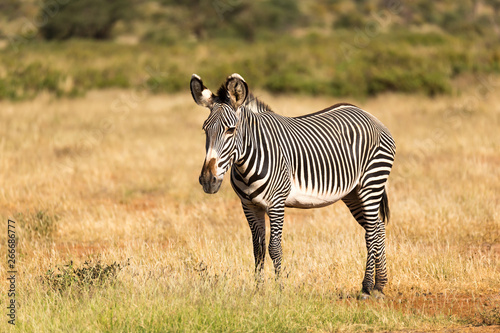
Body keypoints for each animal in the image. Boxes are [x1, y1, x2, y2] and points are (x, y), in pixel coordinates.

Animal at [189, 73, 396, 298]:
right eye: (205, 130)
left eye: (231, 130)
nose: (208, 180)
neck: (248, 159)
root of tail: (368, 114)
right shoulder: (250, 206)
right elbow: (258, 249)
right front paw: (258, 291)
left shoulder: (276, 204)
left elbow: (274, 248)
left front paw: (279, 289)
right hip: (353, 193)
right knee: (378, 228)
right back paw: (379, 285)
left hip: (371, 182)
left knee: (371, 234)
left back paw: (367, 287)